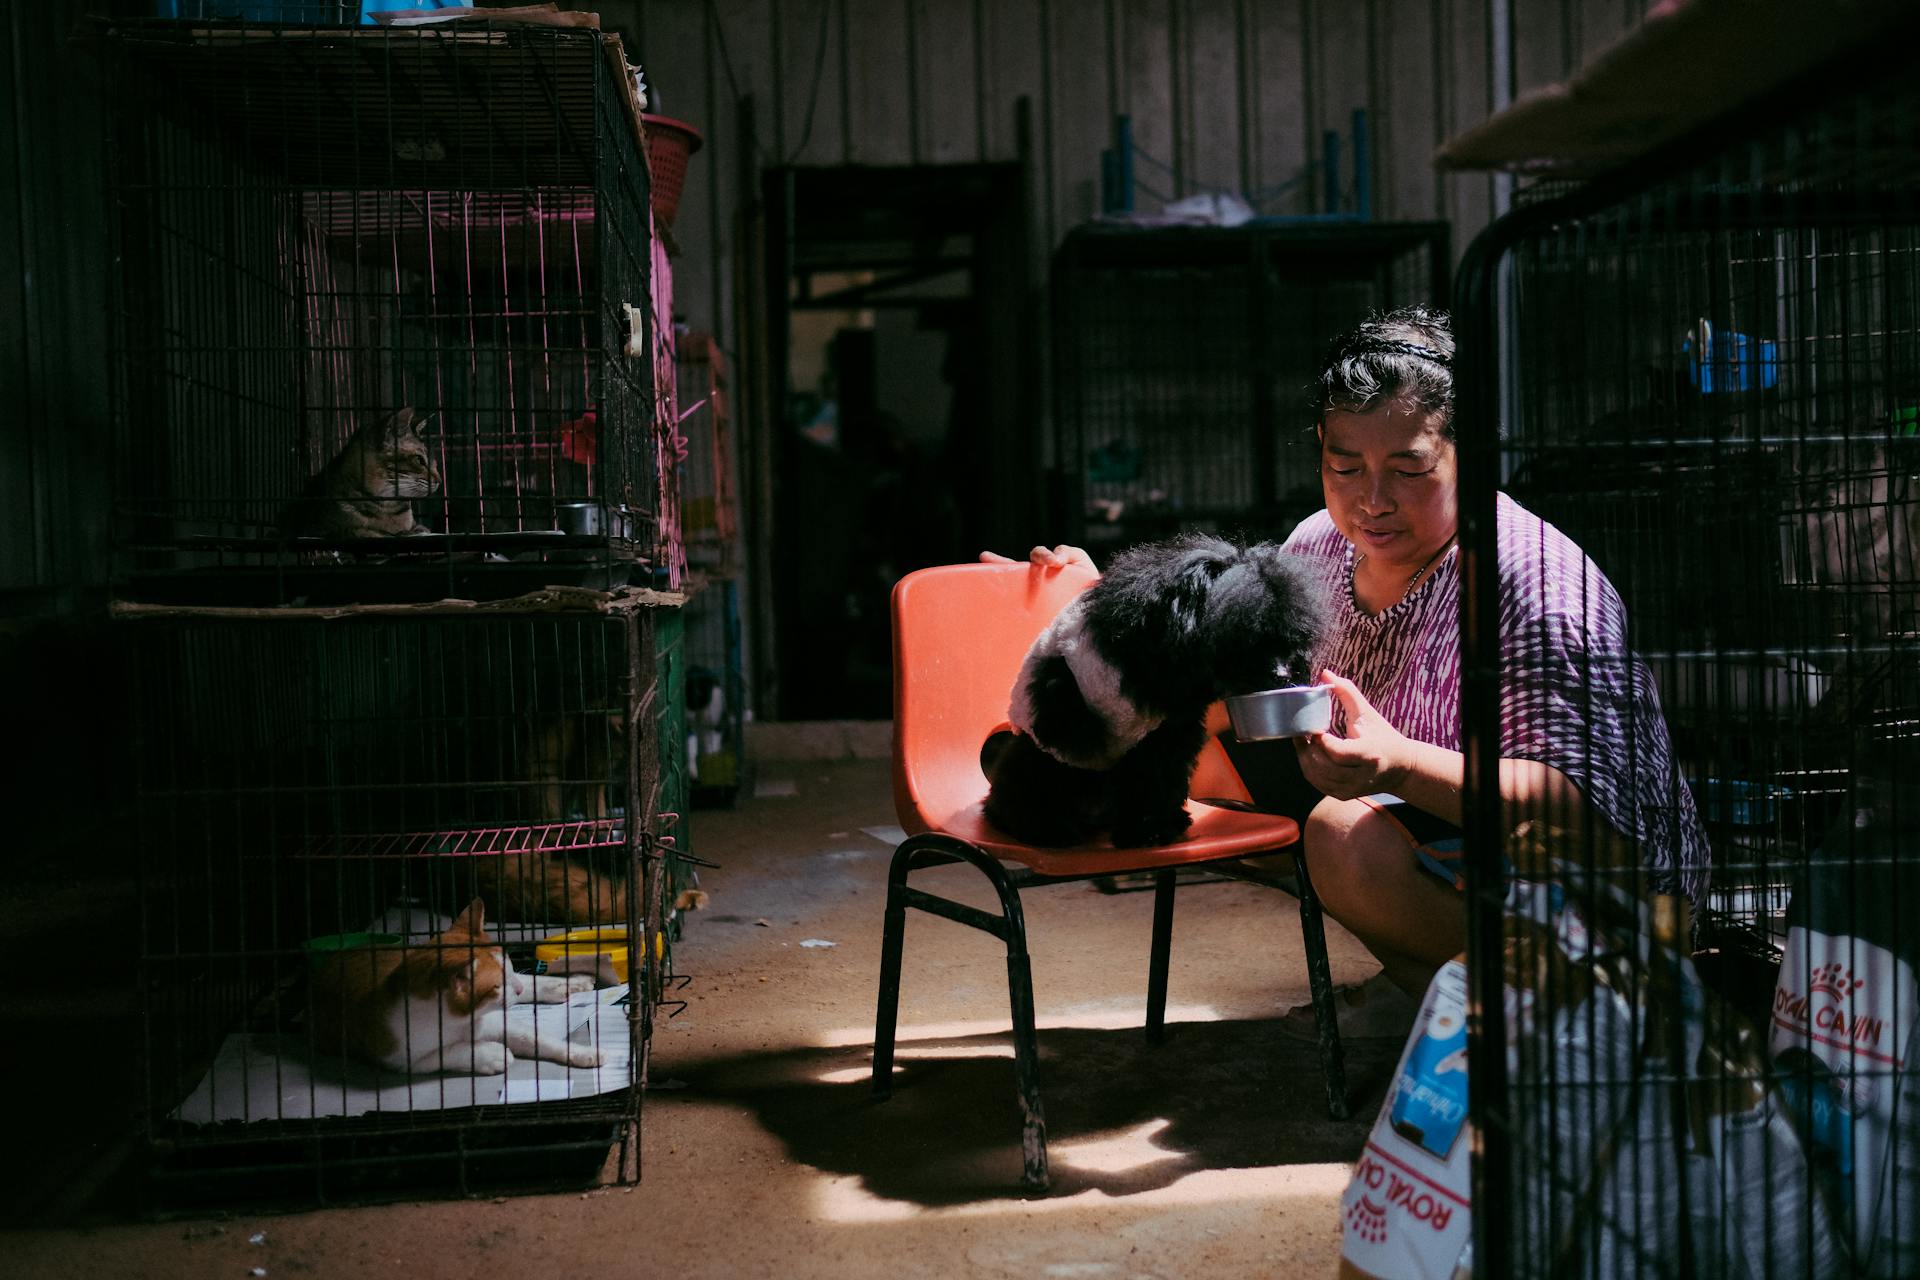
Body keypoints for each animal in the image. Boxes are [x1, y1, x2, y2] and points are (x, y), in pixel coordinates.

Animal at [280, 404, 441, 537]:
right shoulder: (319, 528)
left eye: (435, 463)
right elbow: (362, 531)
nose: (439, 481)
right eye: (419, 460)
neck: (387, 506)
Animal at [307, 901, 599, 1082]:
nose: (513, 987)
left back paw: (569, 982)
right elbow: (447, 1053)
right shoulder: (400, 1057)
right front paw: (490, 1054)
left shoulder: (500, 1020)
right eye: (497, 985)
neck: (460, 1021)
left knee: (531, 982)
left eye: (508, 968)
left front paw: (584, 1053)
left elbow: (537, 1037)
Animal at [983, 533, 1328, 852]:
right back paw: (1045, 829)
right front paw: (1145, 832)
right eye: (1245, 636)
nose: (1284, 674)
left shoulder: (1166, 733)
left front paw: (1154, 829)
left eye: (1291, 638)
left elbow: (1158, 780)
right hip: (1041, 755)